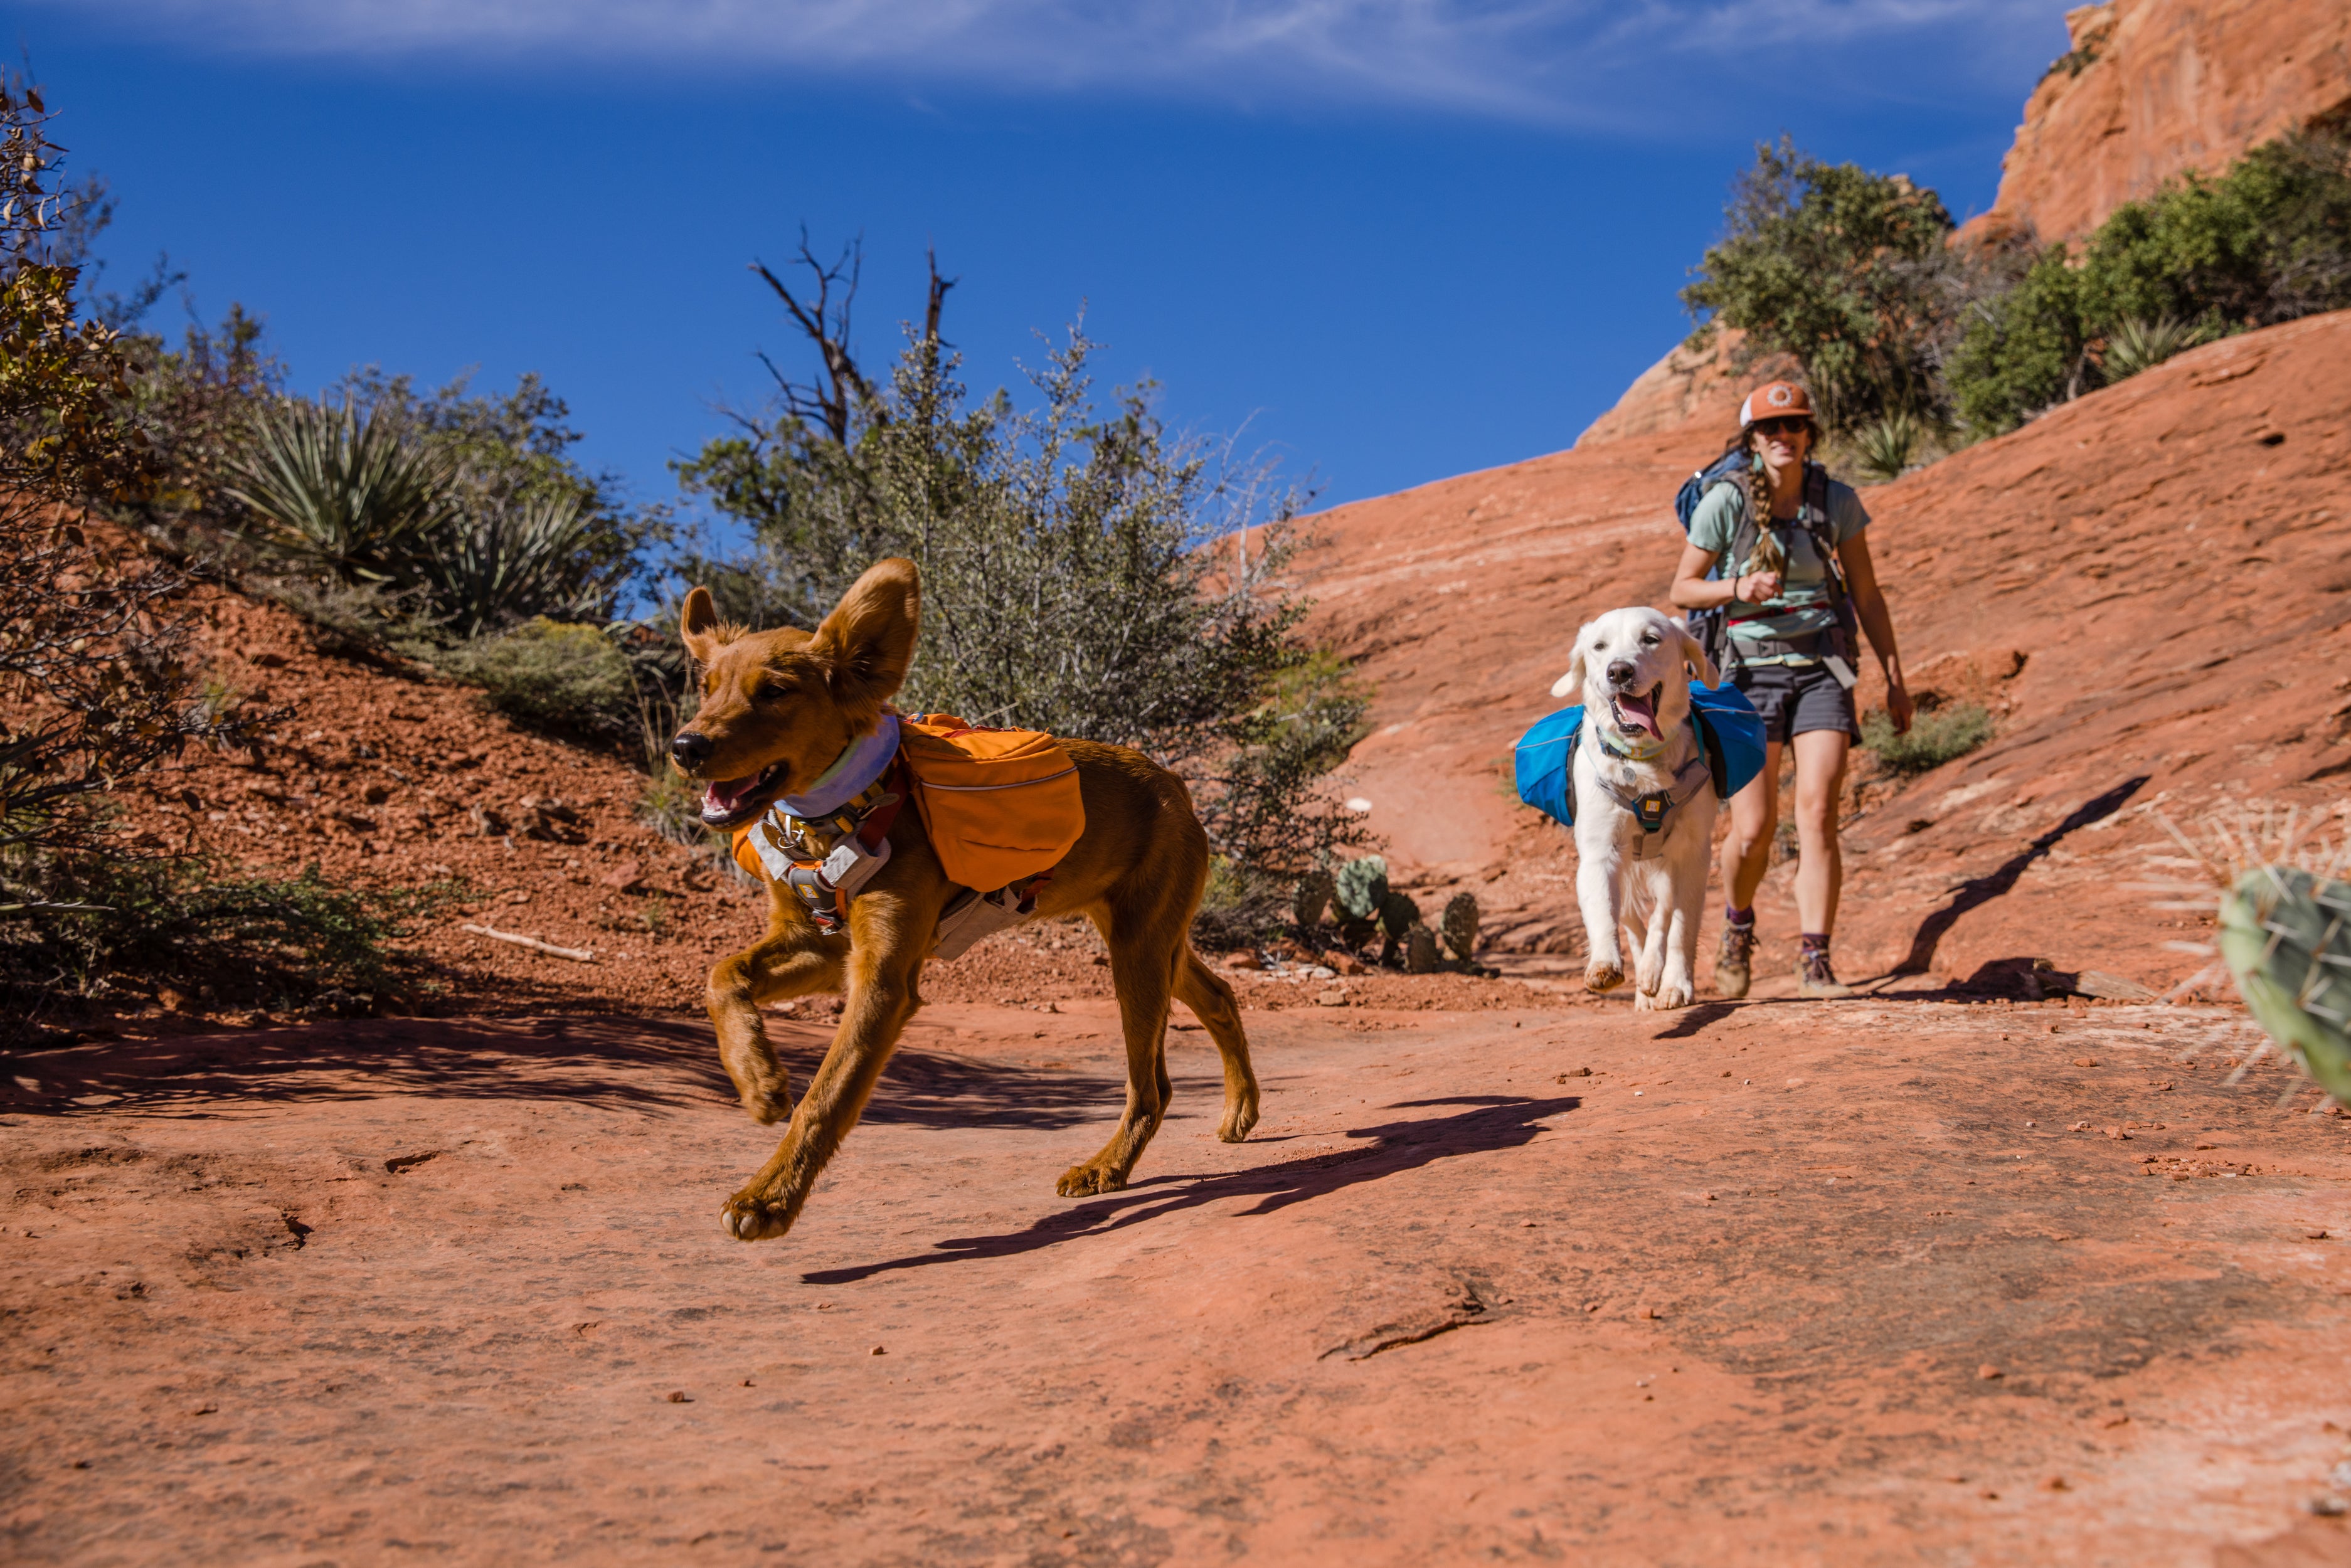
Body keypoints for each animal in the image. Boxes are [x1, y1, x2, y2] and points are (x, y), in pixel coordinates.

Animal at [672, 557, 1260, 1241]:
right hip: (1154, 938)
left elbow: (826, 1096)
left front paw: (768, 1198)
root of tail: (1174, 783)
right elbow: (721, 976)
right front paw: (760, 1081)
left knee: (1153, 1086)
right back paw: (1240, 1110)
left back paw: (1106, 1168)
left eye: (774, 691)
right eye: (707, 687)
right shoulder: (819, 945)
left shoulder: (883, 980)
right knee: (1218, 996)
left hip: (1136, 954)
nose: (685, 747)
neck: (833, 815)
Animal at [1551, 607, 1721, 1010]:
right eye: (1599, 646)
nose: (1619, 672)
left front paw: (1676, 983)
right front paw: (1604, 964)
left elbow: (1680, 926)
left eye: (1651, 639)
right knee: (1631, 919)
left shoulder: (1694, 853)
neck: (1642, 762)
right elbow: (1604, 912)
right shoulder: (1600, 852)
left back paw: (1653, 975)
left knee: (1662, 914)